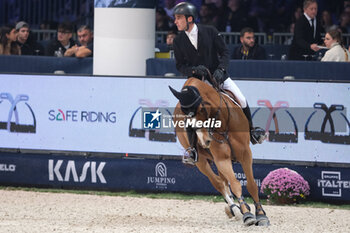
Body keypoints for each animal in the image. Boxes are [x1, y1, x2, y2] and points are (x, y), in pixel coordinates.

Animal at [170, 77, 270, 227]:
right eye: (184, 114)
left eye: (201, 109)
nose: (204, 141)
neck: (223, 123)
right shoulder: (222, 159)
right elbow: (235, 184)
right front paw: (246, 214)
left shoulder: (245, 154)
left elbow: (251, 184)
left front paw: (261, 214)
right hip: (201, 161)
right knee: (218, 182)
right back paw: (235, 210)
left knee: (223, 180)